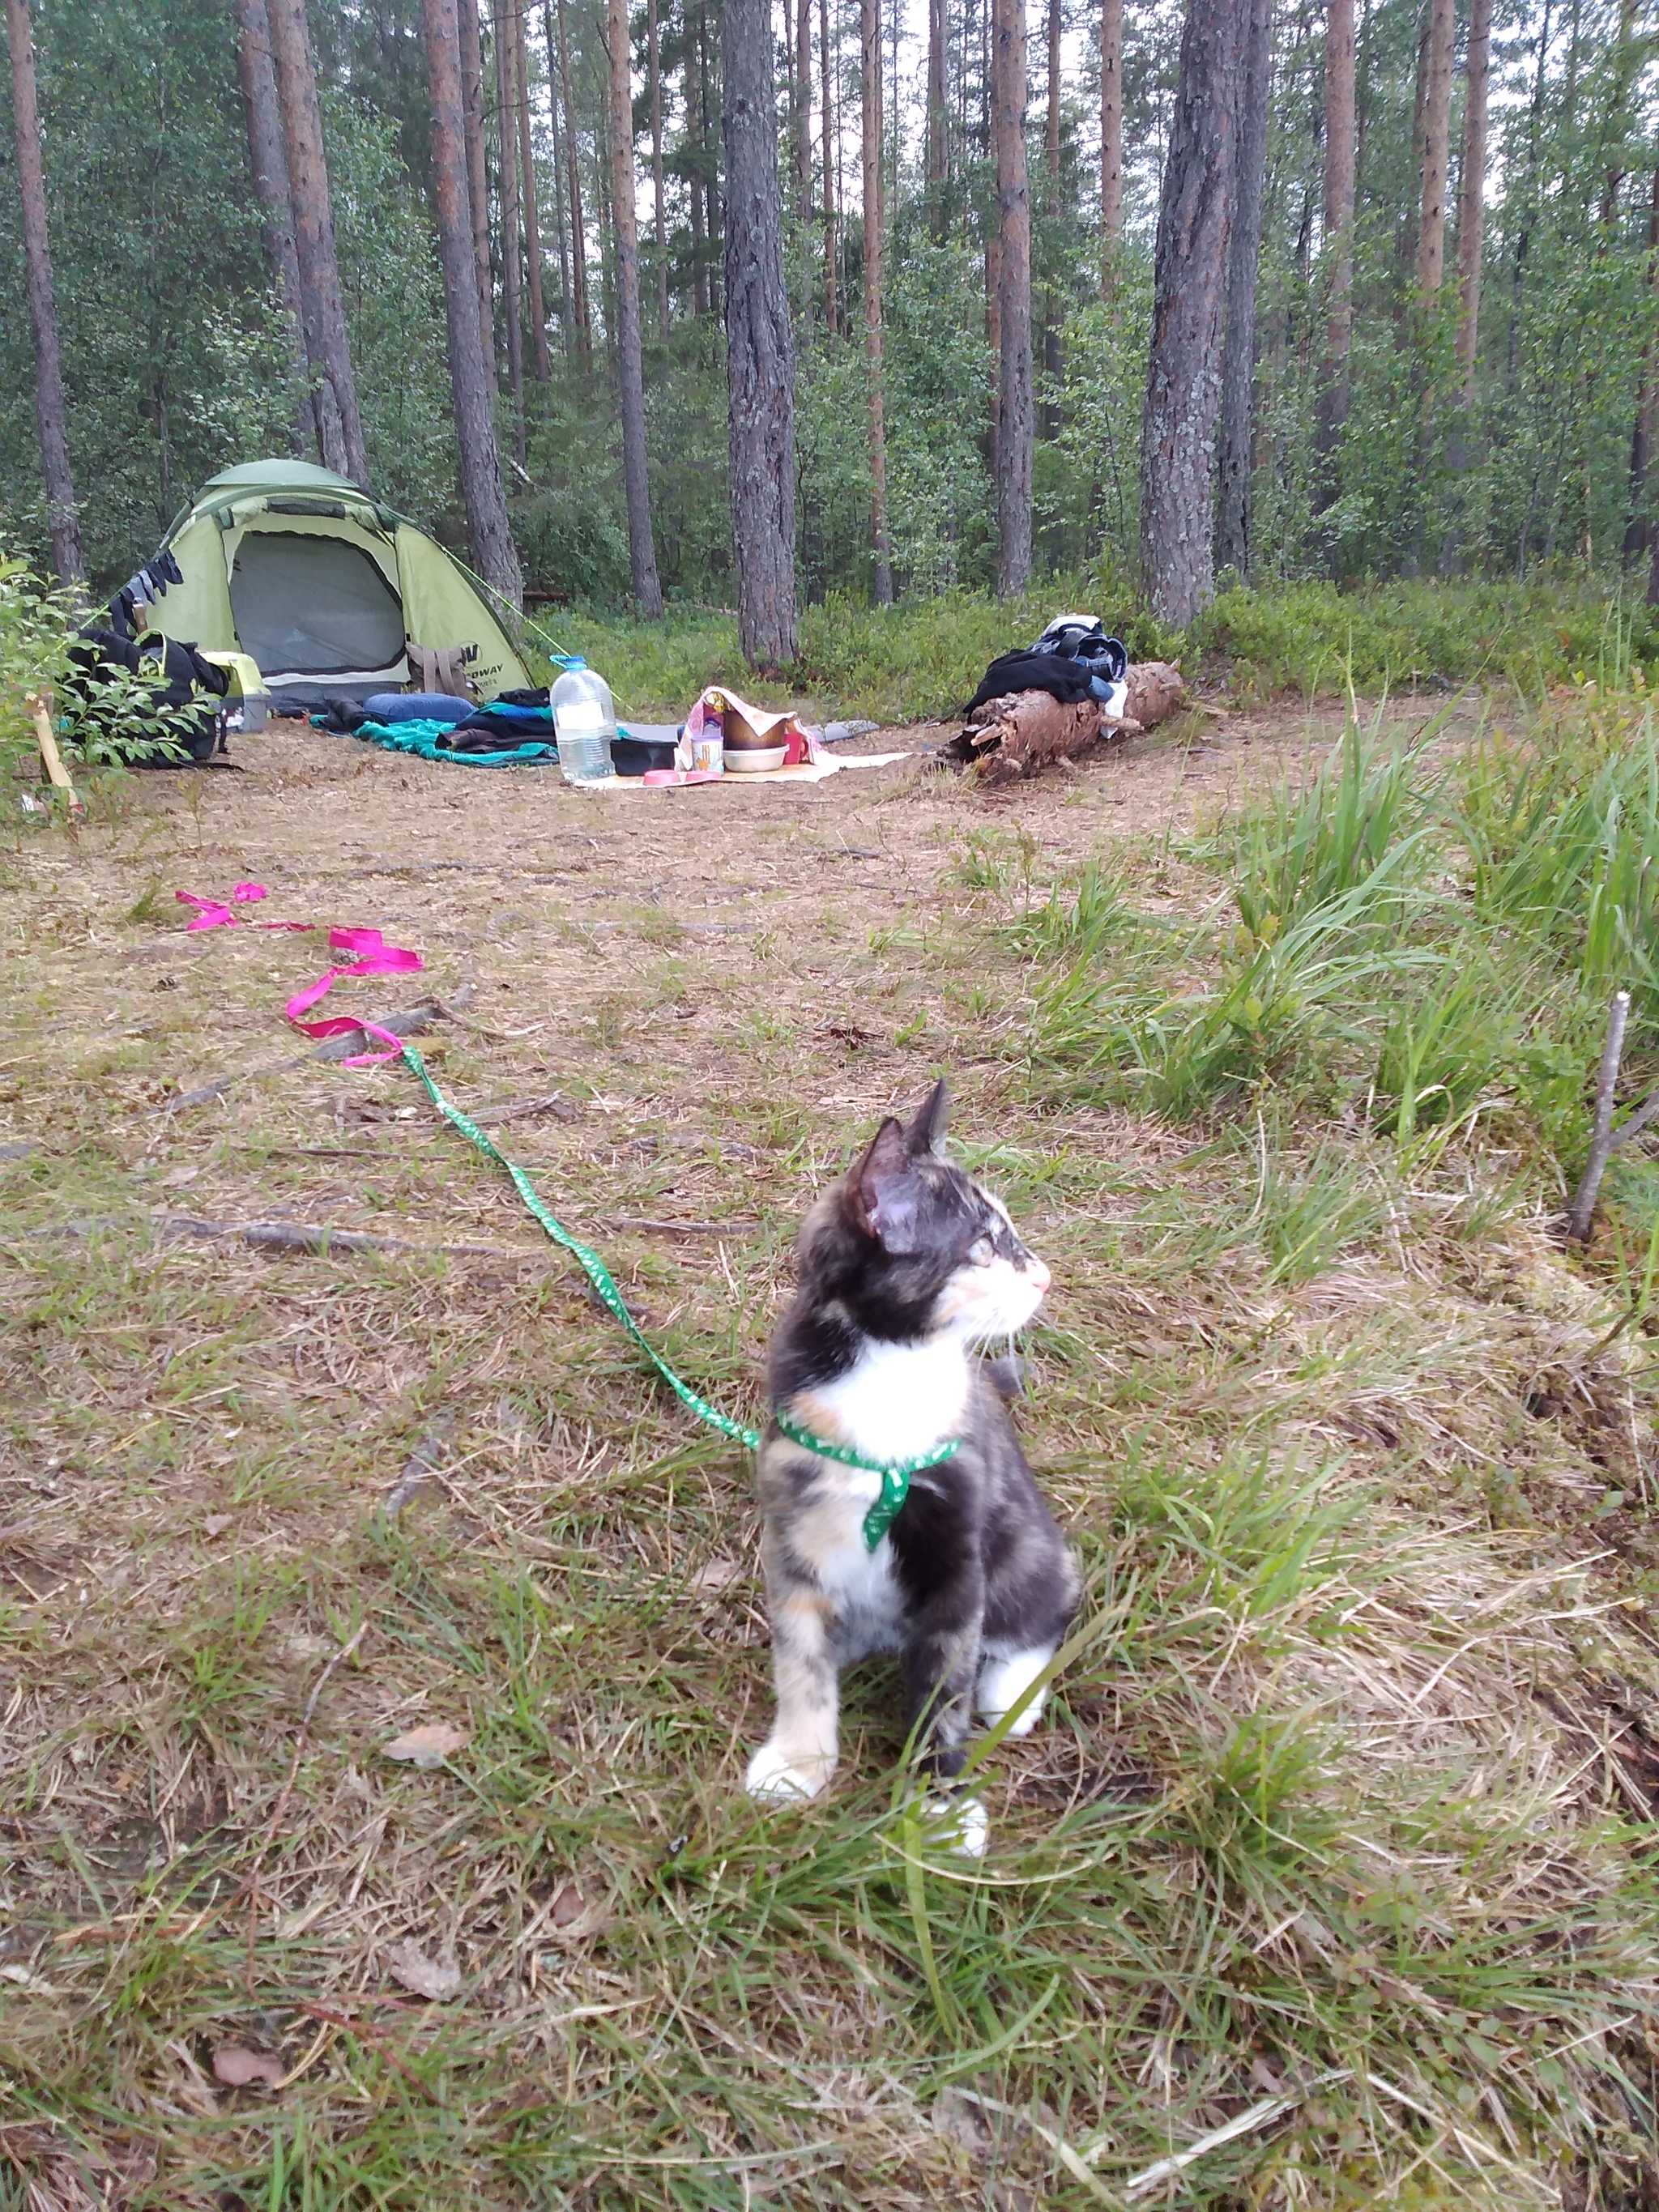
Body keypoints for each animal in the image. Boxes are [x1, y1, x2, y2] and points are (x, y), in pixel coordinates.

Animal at [747, 1079, 1084, 1840]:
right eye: (983, 1245)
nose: (1046, 1279)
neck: (893, 1365)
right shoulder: (794, 1530)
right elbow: (800, 1659)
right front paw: (799, 1763)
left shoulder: (958, 1553)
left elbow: (944, 1685)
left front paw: (937, 1804)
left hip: (1028, 1545)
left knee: (1049, 1607)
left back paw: (1012, 1689)